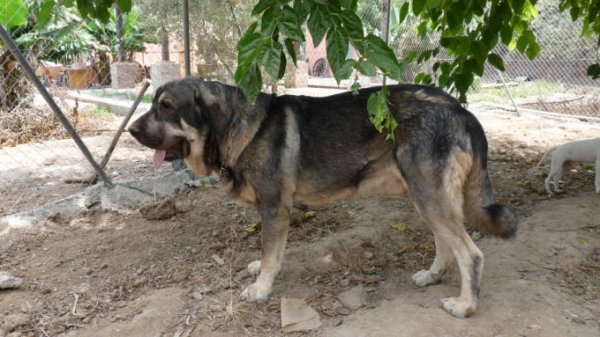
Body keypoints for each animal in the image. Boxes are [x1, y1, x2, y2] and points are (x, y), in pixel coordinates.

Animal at [127, 77, 516, 316]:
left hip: (429, 196)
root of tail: (461, 109)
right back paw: (432, 276)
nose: (130, 130)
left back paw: (465, 305)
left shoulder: (275, 208)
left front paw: (261, 288)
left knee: (471, 254)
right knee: (446, 243)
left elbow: (270, 254)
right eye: (153, 103)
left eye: (167, 106)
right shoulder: (276, 211)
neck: (235, 126)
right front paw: (260, 271)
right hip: (426, 197)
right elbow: (270, 253)